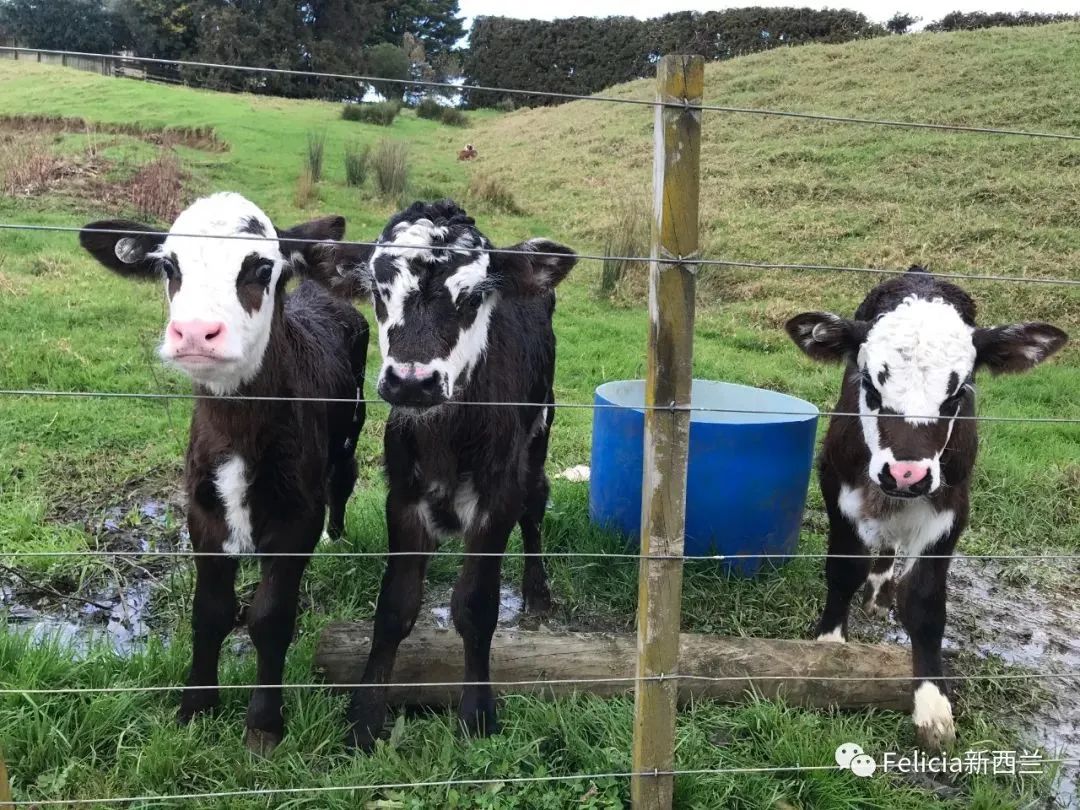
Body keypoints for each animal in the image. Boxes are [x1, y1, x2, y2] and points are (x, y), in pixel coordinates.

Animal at [78, 193, 369, 760]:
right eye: (169, 267)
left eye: (261, 268)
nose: (194, 332)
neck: (237, 431)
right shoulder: (202, 507)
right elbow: (210, 611)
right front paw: (195, 708)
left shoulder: (297, 517)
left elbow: (271, 617)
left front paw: (264, 724)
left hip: (354, 422)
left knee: (342, 479)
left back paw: (338, 536)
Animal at [328, 199, 578, 751]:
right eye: (378, 292)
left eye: (473, 297)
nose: (412, 381)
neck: (446, 436)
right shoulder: (402, 497)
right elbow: (394, 608)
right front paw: (364, 718)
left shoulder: (497, 499)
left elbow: (477, 607)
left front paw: (477, 714)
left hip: (541, 428)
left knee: (536, 504)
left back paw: (537, 591)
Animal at [786, 270, 1071, 751]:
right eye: (869, 384)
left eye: (957, 394)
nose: (906, 474)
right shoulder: (835, 483)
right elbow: (843, 568)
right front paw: (829, 647)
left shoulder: (951, 510)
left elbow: (924, 602)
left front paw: (933, 707)